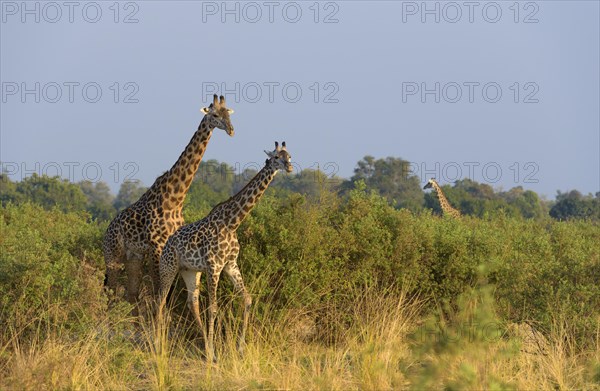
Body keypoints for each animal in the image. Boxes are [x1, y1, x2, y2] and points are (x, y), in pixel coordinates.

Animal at [103, 93, 234, 308]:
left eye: (228, 114)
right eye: (215, 114)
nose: (231, 130)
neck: (175, 199)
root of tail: (106, 230)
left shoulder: (166, 247)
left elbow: (167, 292)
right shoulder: (157, 246)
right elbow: (160, 292)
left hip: (133, 256)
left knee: (132, 293)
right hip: (112, 254)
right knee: (110, 288)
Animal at [157, 142, 292, 362]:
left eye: (289, 155)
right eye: (275, 157)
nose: (289, 167)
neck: (232, 223)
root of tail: (167, 243)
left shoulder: (230, 265)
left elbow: (247, 299)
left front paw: (239, 349)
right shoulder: (215, 267)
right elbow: (213, 308)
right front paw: (214, 355)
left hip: (190, 271)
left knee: (192, 302)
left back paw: (203, 346)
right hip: (168, 267)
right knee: (160, 302)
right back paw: (157, 344)